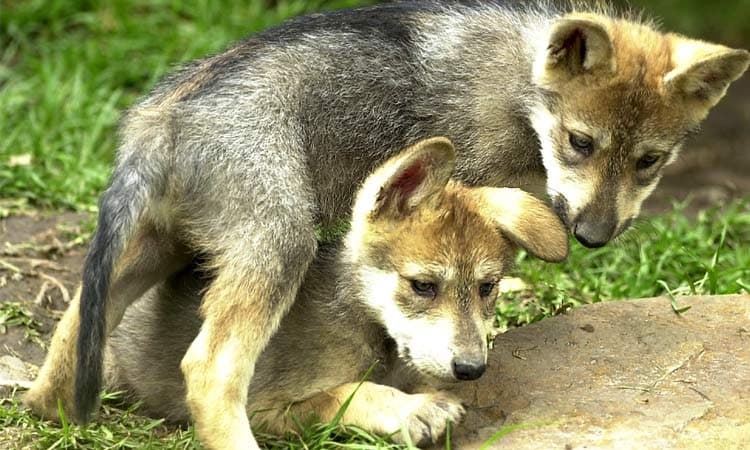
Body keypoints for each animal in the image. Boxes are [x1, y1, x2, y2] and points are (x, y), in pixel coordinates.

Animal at [103, 137, 569, 446]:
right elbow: (346, 393)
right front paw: (412, 410)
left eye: (487, 287)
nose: (472, 369)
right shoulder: (266, 410)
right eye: (422, 286)